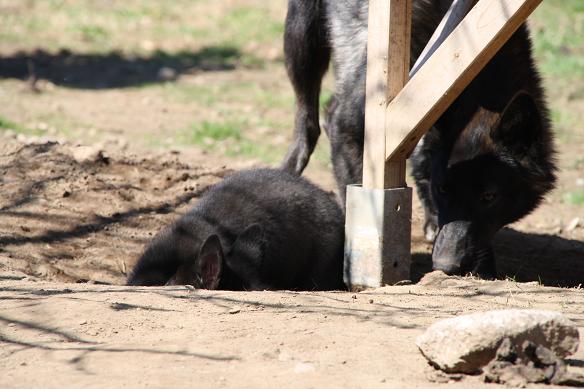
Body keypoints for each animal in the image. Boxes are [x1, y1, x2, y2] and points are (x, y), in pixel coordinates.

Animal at [280, 0, 556, 278]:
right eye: (443, 188)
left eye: (490, 196)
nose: (446, 265)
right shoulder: (351, 125)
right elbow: (358, 196)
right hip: (301, 35)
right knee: (309, 122)